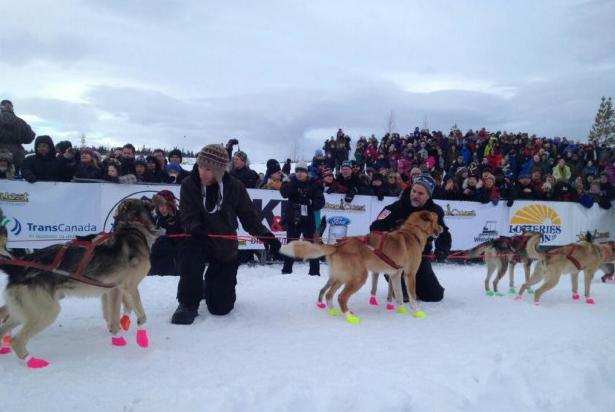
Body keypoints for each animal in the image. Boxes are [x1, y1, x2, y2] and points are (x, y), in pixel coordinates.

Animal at [0, 199, 161, 366]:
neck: (132, 227)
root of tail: (17, 269)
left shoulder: (114, 290)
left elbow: (117, 315)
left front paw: (118, 336)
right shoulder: (130, 286)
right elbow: (141, 314)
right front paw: (141, 336)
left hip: (22, 312)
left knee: (3, 329)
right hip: (46, 312)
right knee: (16, 340)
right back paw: (32, 361)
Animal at [282, 211, 446, 324]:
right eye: (437, 220)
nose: (443, 228)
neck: (412, 233)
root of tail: (338, 245)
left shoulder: (395, 275)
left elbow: (399, 295)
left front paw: (400, 309)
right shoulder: (410, 274)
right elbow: (412, 296)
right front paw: (417, 312)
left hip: (340, 278)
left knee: (328, 294)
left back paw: (334, 311)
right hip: (358, 278)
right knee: (341, 297)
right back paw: (349, 317)